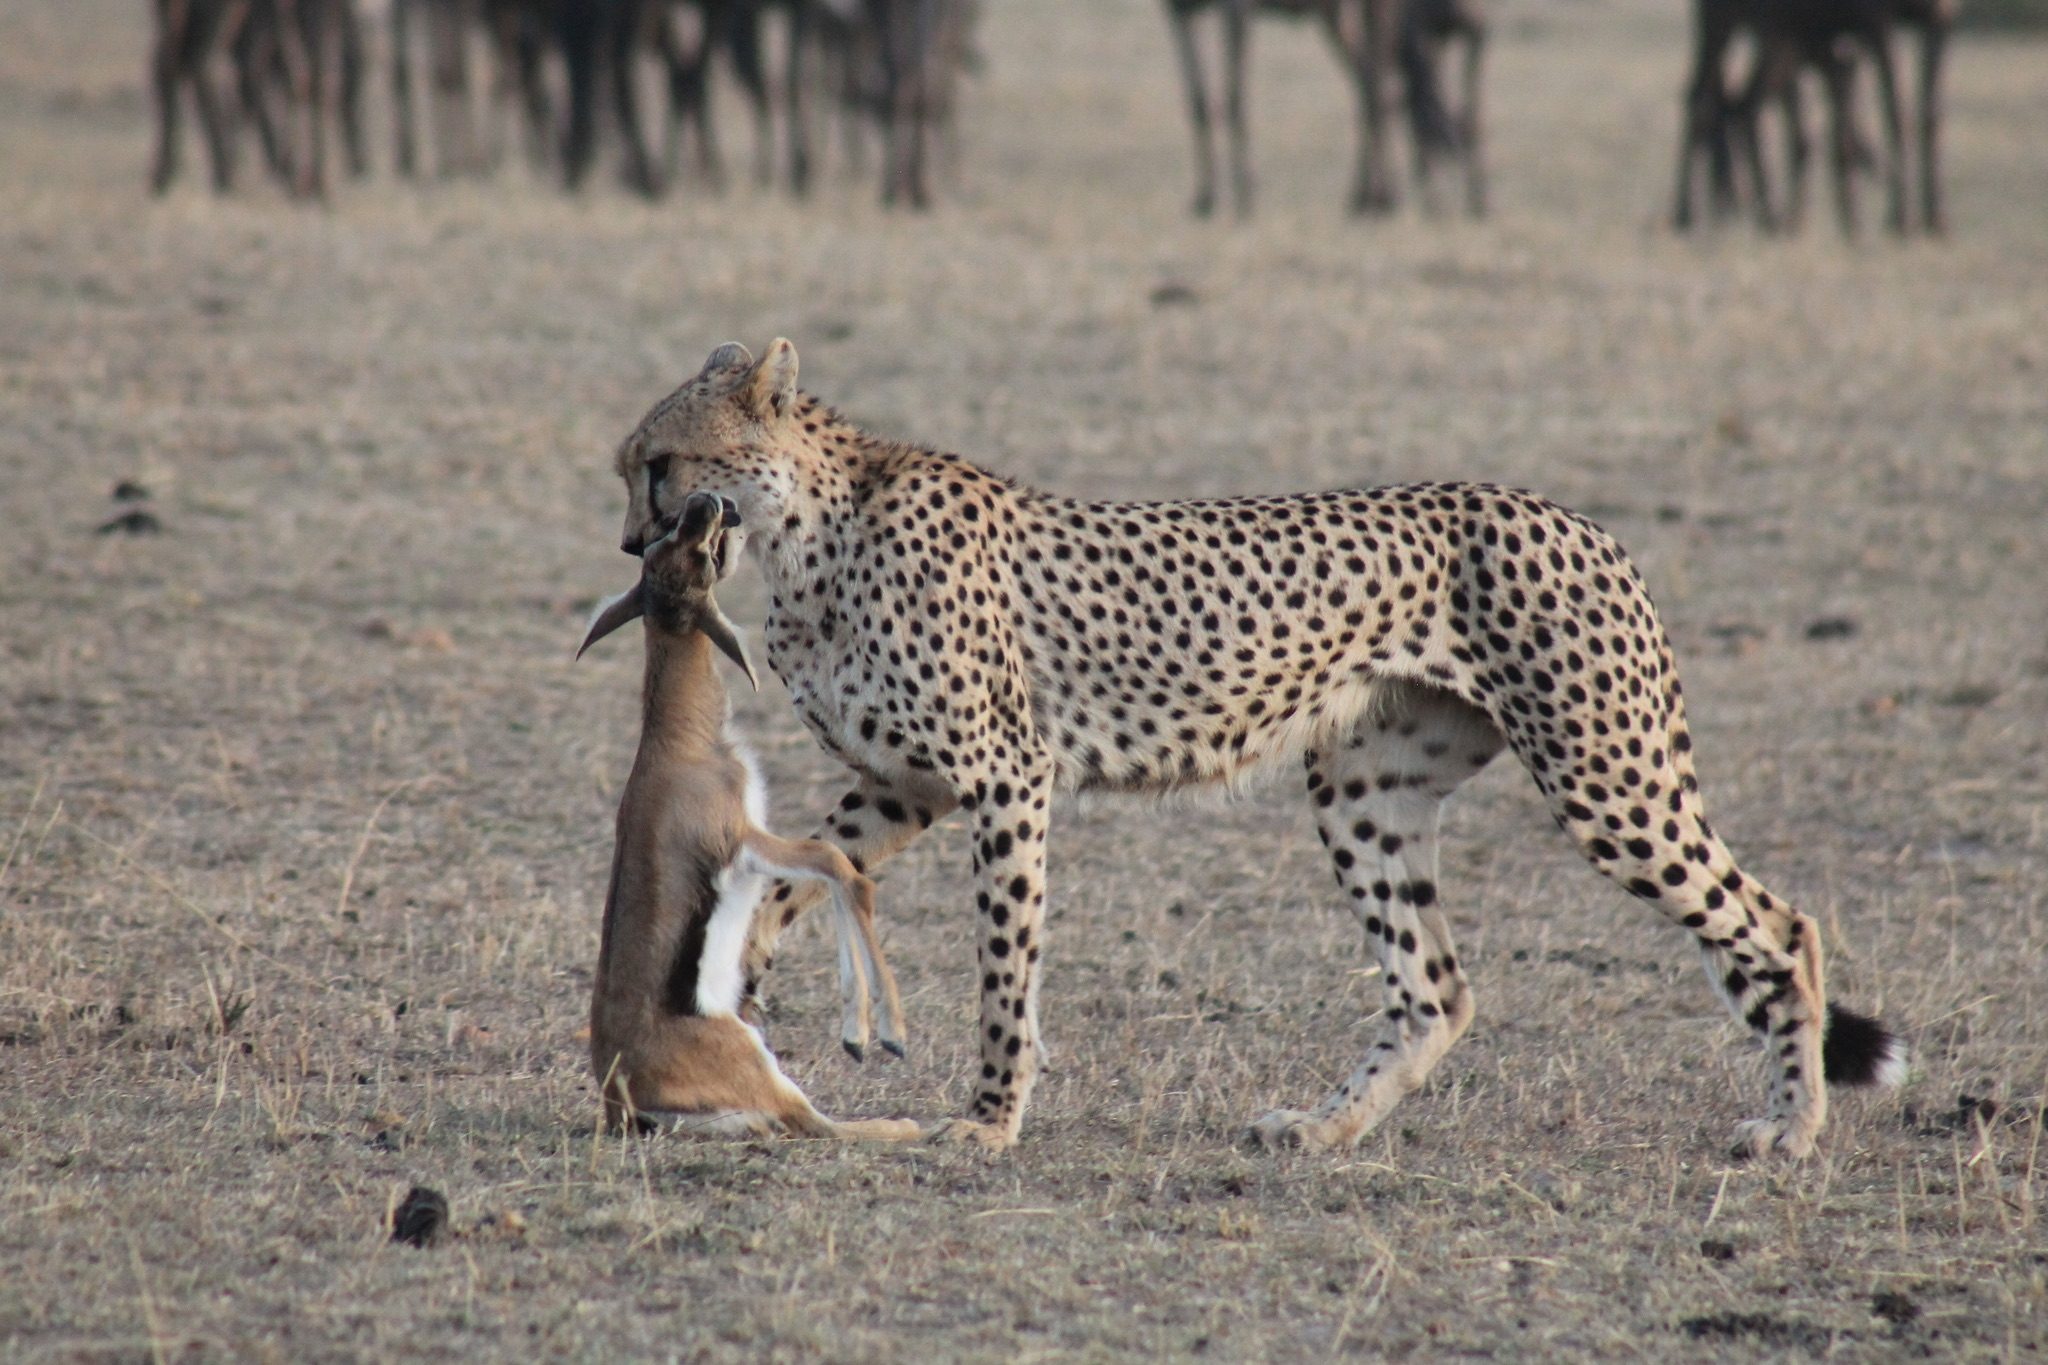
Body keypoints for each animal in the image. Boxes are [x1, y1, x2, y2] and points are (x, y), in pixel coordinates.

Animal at [577, 491, 921, 1140]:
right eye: (685, 550)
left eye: (666, 545)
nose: (705, 503)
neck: (683, 744)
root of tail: (622, 1103)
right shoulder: (746, 840)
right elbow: (840, 866)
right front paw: (877, 1035)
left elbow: (833, 873)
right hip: (766, 1069)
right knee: (820, 1124)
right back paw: (914, 1124)